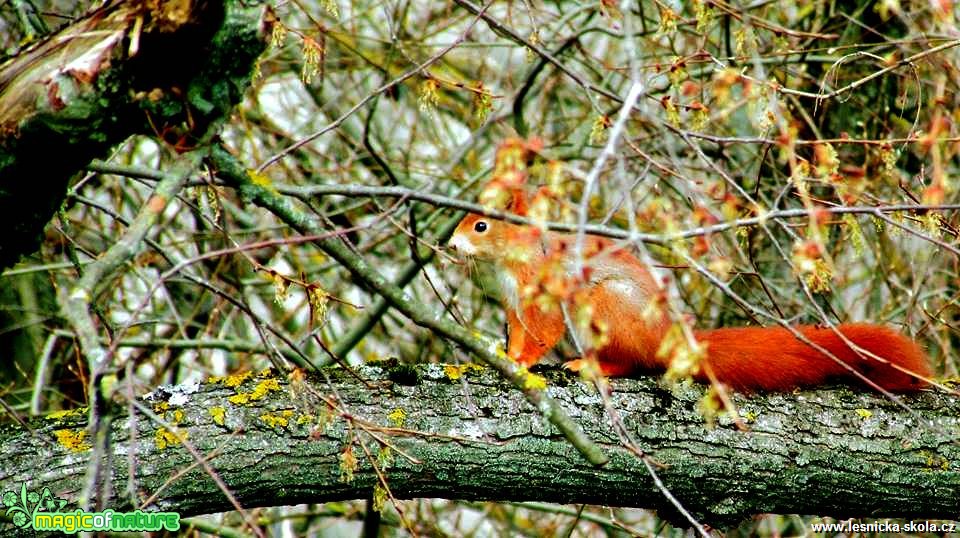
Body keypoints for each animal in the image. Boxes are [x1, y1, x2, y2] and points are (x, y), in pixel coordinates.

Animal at [450, 197, 928, 390]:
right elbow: (517, 332)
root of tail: (668, 336)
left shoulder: (543, 294)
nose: (451, 245)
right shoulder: (513, 305)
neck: (511, 262)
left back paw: (590, 365)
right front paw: (504, 354)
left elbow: (541, 333)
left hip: (607, 306)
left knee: (634, 362)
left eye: (481, 225)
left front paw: (523, 363)